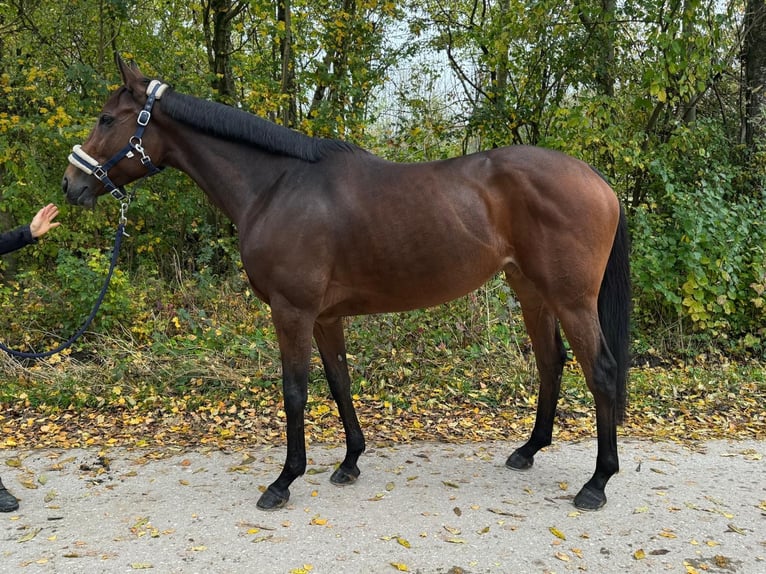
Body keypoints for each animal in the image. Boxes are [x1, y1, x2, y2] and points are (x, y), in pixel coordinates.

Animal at [63, 58, 632, 512]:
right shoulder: (324, 316)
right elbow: (339, 382)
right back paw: (529, 450)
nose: (72, 185)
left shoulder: (291, 312)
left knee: (600, 371)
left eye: (106, 119)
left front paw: (283, 481)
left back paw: (597, 483)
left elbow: (295, 391)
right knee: (550, 362)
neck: (276, 188)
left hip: (572, 300)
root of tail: (599, 182)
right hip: (531, 291)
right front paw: (350, 461)